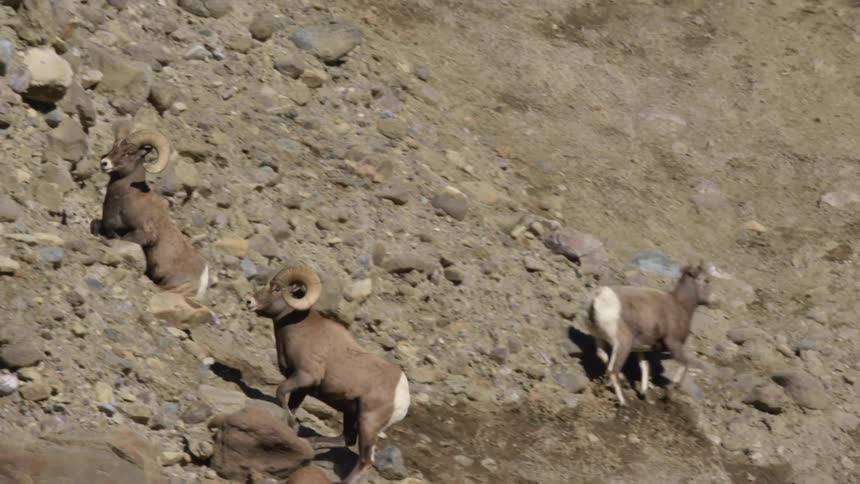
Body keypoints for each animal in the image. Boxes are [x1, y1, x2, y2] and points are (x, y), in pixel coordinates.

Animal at [90, 121, 209, 300]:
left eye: (129, 152)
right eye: (113, 147)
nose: (104, 163)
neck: (123, 199)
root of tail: (203, 278)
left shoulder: (144, 233)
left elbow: (123, 238)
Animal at [245, 265, 410, 484]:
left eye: (277, 288)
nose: (249, 301)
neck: (299, 329)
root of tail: (403, 395)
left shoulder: (304, 377)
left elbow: (280, 392)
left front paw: (293, 426)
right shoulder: (302, 388)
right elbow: (290, 405)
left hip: (368, 423)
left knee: (365, 459)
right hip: (351, 413)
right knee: (346, 439)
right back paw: (313, 443)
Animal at [586, 261, 714, 406]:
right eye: (706, 280)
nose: (714, 301)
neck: (680, 306)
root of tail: (597, 299)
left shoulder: (641, 349)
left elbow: (645, 366)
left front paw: (644, 392)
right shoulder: (673, 343)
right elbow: (684, 364)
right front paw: (669, 393)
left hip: (601, 339)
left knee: (604, 358)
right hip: (623, 345)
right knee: (613, 370)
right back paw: (624, 403)